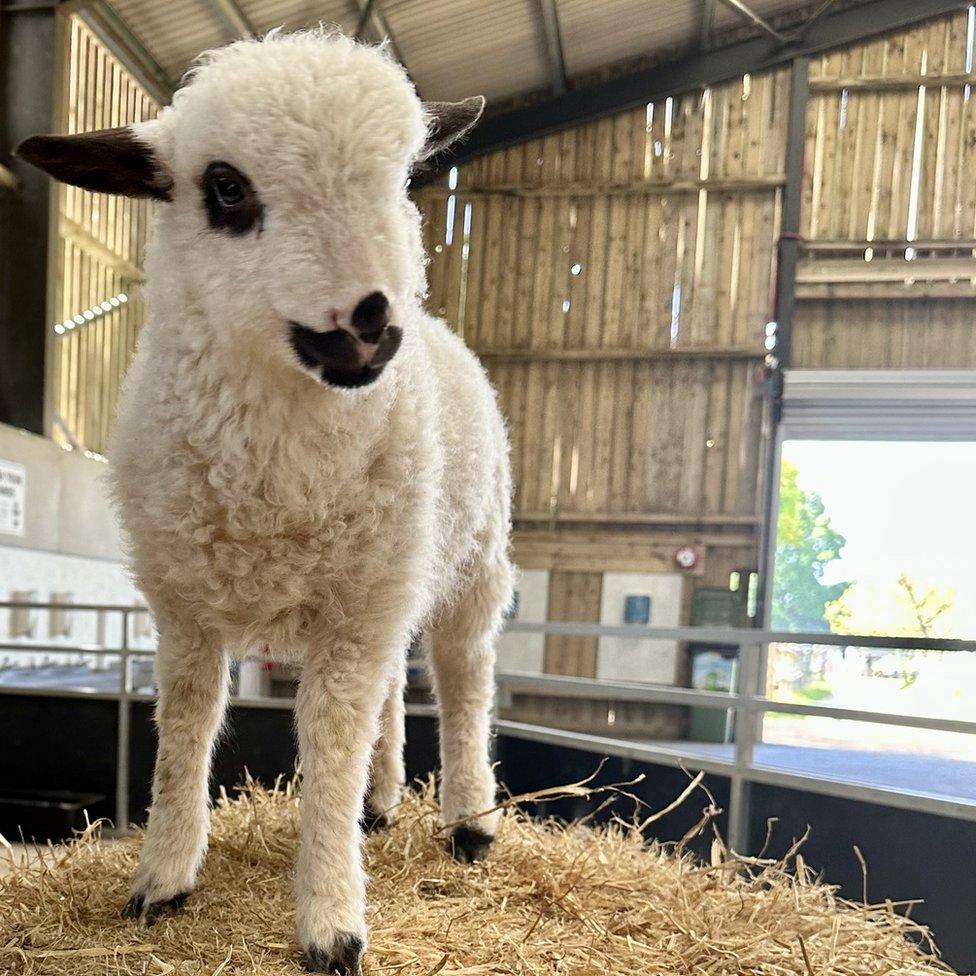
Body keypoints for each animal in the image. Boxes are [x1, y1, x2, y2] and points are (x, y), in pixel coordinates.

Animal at [19, 30, 516, 976]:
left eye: (403, 179)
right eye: (225, 186)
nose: (372, 320)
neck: (274, 484)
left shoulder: (355, 606)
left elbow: (327, 745)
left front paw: (331, 918)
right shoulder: (182, 603)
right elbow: (186, 725)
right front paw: (163, 879)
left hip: (468, 555)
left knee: (464, 676)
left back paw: (470, 822)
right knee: (394, 690)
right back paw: (382, 803)